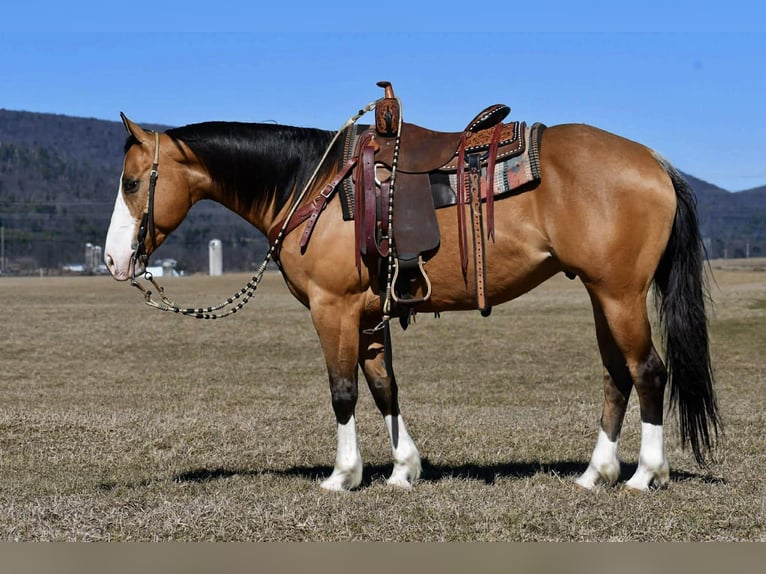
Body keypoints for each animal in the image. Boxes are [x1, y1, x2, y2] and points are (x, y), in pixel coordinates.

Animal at [104, 99, 721, 492]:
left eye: (132, 183)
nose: (113, 261)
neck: (311, 182)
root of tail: (654, 163)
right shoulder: (368, 316)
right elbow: (385, 389)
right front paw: (403, 469)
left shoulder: (333, 308)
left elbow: (343, 393)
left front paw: (342, 476)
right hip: (602, 295)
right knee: (617, 376)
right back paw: (596, 474)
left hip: (620, 296)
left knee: (649, 372)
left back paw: (645, 475)